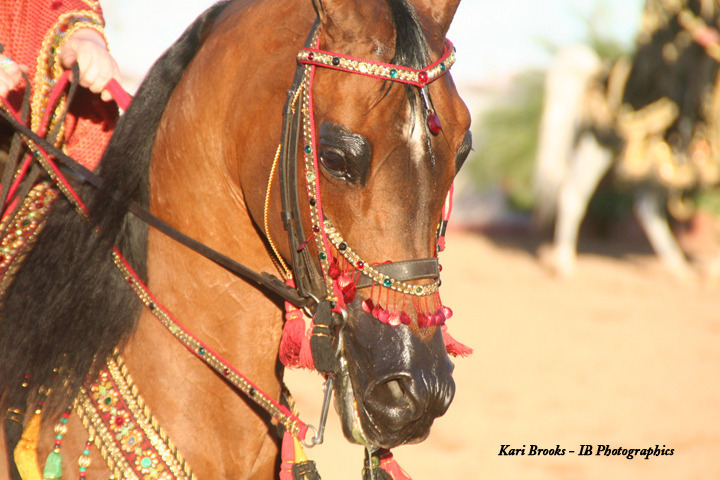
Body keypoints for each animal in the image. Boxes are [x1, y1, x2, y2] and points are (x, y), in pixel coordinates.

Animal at [534, 0, 720, 280]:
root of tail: (597, 72)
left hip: (646, 155)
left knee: (647, 208)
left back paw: (679, 268)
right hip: (599, 145)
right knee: (572, 194)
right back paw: (564, 263)